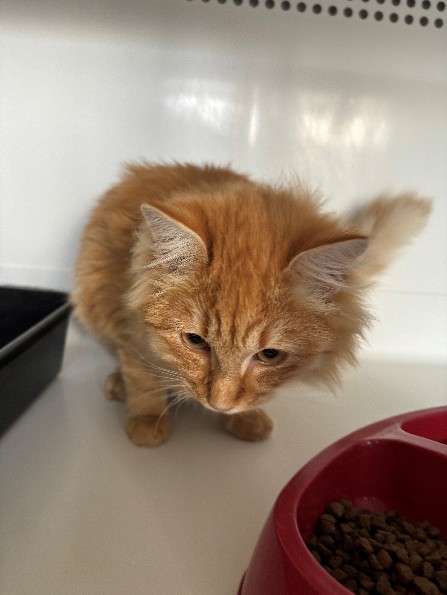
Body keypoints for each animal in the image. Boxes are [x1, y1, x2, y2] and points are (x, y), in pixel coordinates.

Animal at [71, 162, 431, 447]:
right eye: (194, 341)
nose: (220, 404)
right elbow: (142, 376)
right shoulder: (123, 320)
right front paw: (147, 419)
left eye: (269, 355)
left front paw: (245, 418)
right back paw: (118, 384)